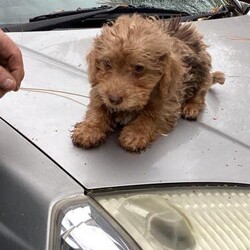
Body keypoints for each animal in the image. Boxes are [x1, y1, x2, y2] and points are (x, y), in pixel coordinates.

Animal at [72, 14, 225, 152]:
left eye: (139, 68)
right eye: (107, 63)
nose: (114, 100)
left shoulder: (167, 104)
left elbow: (150, 116)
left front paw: (135, 134)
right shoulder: (100, 90)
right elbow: (97, 109)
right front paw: (88, 129)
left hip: (203, 71)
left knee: (200, 94)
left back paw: (191, 107)